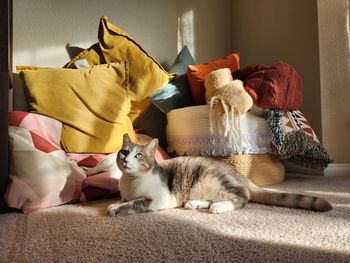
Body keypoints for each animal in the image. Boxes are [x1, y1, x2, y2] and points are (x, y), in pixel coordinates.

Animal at [108, 134, 332, 217]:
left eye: (138, 155)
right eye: (123, 152)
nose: (126, 160)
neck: (130, 184)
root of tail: (241, 176)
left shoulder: (158, 199)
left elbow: (135, 203)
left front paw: (115, 208)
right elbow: (123, 199)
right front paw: (116, 202)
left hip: (211, 179)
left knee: (241, 198)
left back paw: (219, 207)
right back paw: (195, 203)